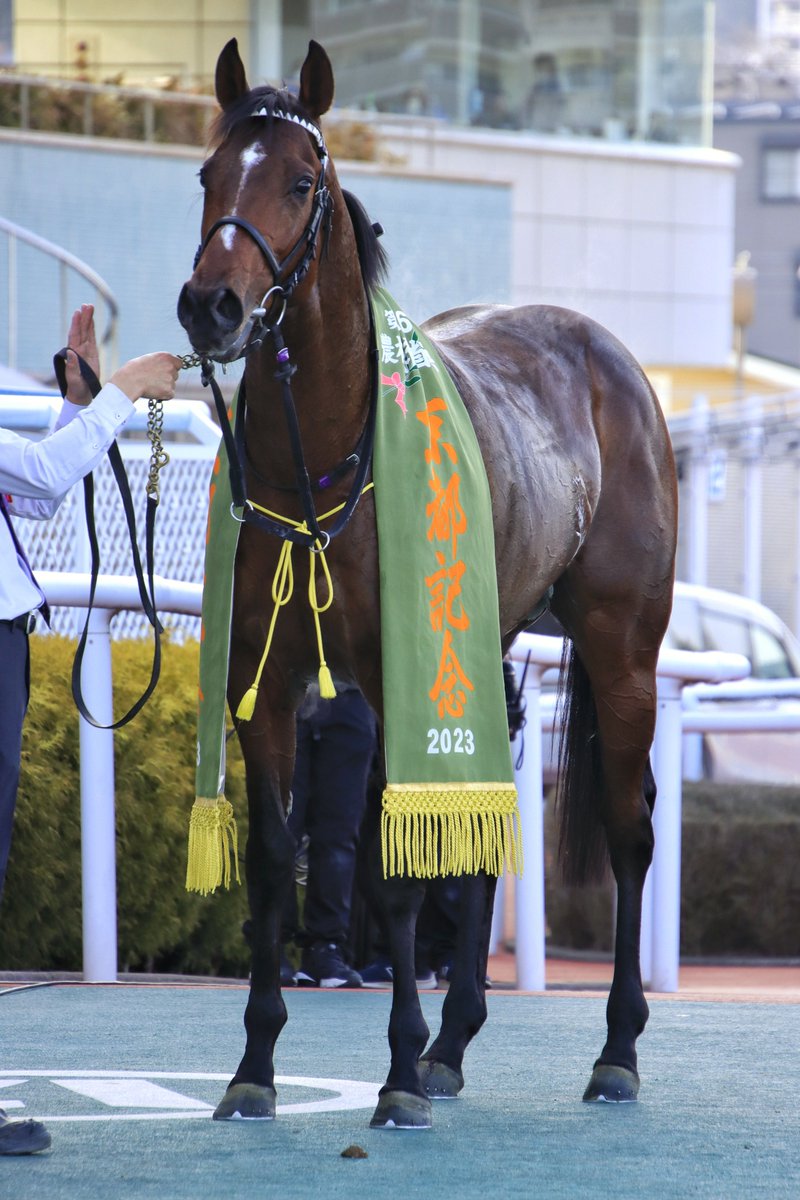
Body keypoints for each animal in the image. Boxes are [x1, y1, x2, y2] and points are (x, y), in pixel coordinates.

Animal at [177, 37, 678, 1130]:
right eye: (206, 175)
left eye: (300, 181)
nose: (213, 306)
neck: (322, 468)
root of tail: (610, 360)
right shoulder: (264, 681)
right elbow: (279, 860)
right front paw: (256, 1065)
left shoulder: (396, 681)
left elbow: (394, 874)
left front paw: (398, 1072)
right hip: (482, 643)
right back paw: (455, 1041)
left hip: (621, 648)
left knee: (631, 832)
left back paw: (615, 1051)